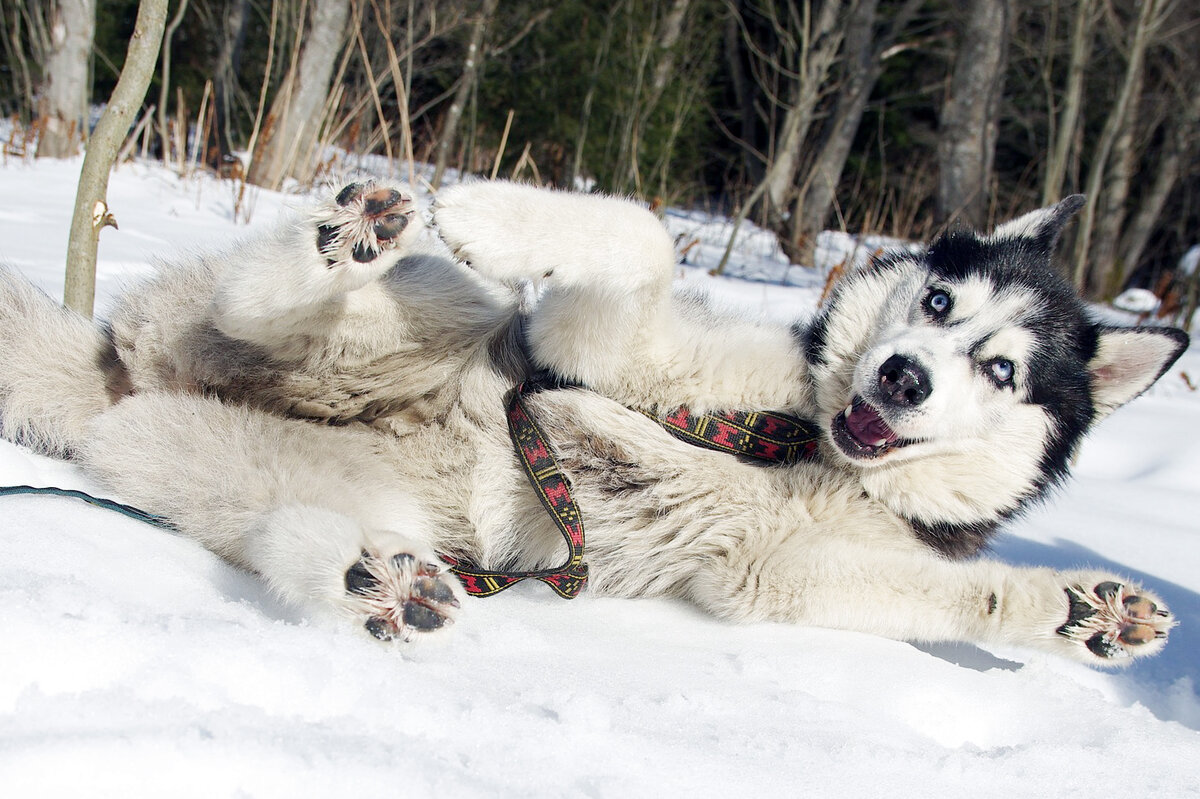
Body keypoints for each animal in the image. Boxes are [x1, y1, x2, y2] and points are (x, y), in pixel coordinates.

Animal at [0, 179, 1185, 657]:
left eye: (1000, 366)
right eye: (938, 302)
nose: (900, 377)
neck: (809, 446)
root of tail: (125, 377)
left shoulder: (776, 572)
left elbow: (966, 597)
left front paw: (1088, 612)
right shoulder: (598, 352)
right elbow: (640, 236)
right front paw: (497, 212)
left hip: (274, 476)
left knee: (290, 530)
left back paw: (376, 581)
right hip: (441, 314)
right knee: (266, 301)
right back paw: (341, 245)